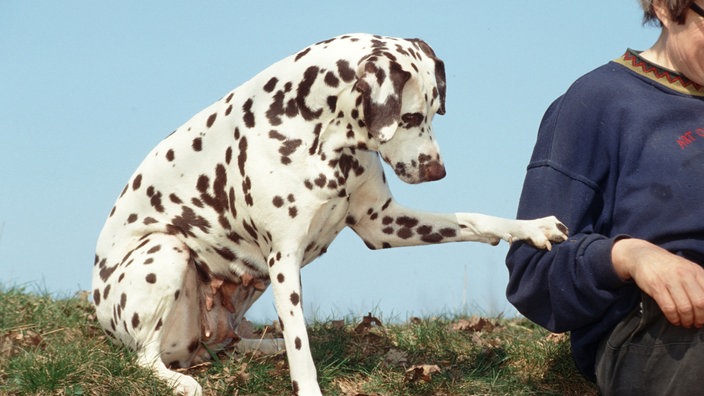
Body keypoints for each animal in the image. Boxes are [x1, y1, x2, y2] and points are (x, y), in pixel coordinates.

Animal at [92, 34, 568, 396]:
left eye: (436, 112)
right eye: (410, 116)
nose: (438, 170)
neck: (317, 130)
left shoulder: (383, 223)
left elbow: (472, 218)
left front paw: (532, 227)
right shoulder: (284, 260)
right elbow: (301, 350)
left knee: (230, 342)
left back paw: (266, 344)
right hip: (167, 251)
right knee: (146, 358)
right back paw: (182, 379)